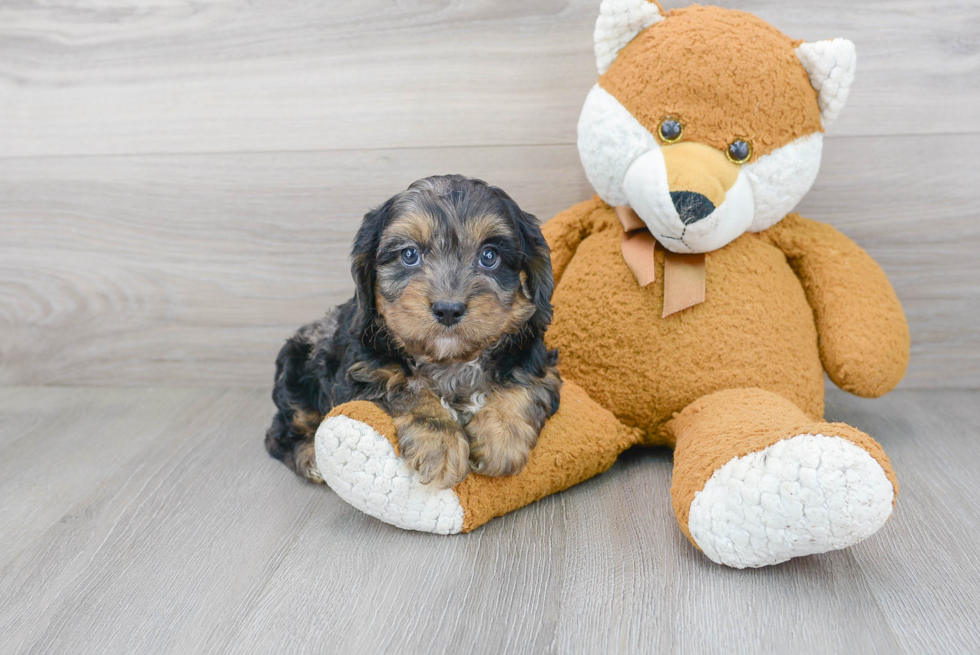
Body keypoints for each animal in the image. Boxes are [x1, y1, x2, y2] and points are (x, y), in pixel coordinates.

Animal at [264, 177, 564, 490]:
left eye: (489, 256)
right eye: (409, 255)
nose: (448, 309)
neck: (450, 361)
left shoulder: (538, 363)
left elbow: (524, 384)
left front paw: (501, 438)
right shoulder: (364, 373)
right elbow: (407, 388)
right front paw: (440, 441)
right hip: (296, 372)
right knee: (278, 434)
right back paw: (310, 458)